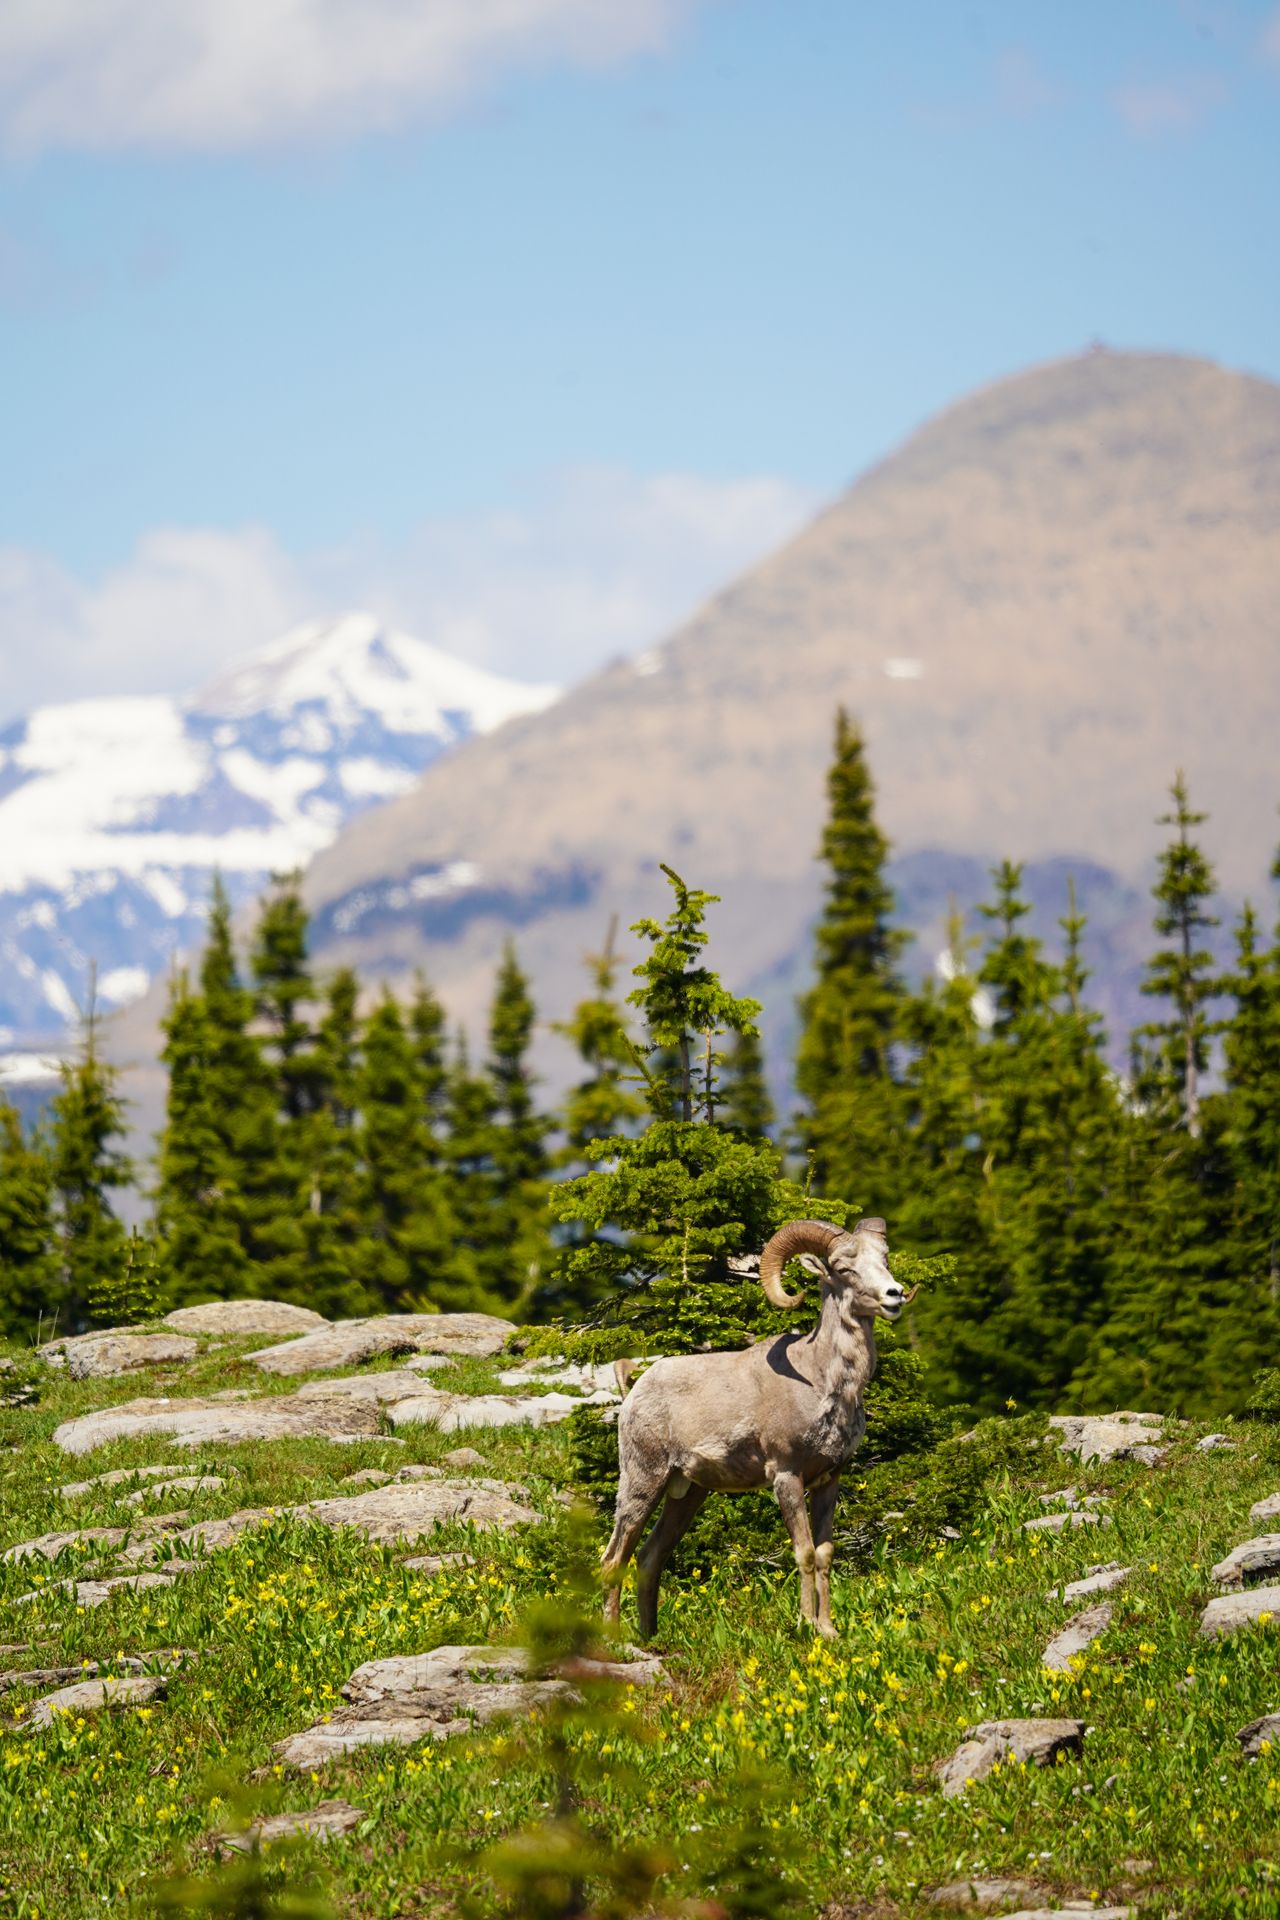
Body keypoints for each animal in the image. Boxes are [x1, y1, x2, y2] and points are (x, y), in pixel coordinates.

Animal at [601, 1216, 913, 1640]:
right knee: (614, 1558)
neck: (822, 1383)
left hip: (687, 1494)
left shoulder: (829, 1480)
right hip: (643, 1482)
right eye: (844, 1269)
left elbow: (825, 1554)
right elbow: (805, 1553)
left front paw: (829, 1631)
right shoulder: (787, 1477)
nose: (894, 1295)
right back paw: (613, 1638)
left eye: (883, 1260)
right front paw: (807, 1626)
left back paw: (650, 1637)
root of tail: (634, 1389)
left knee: (650, 1557)